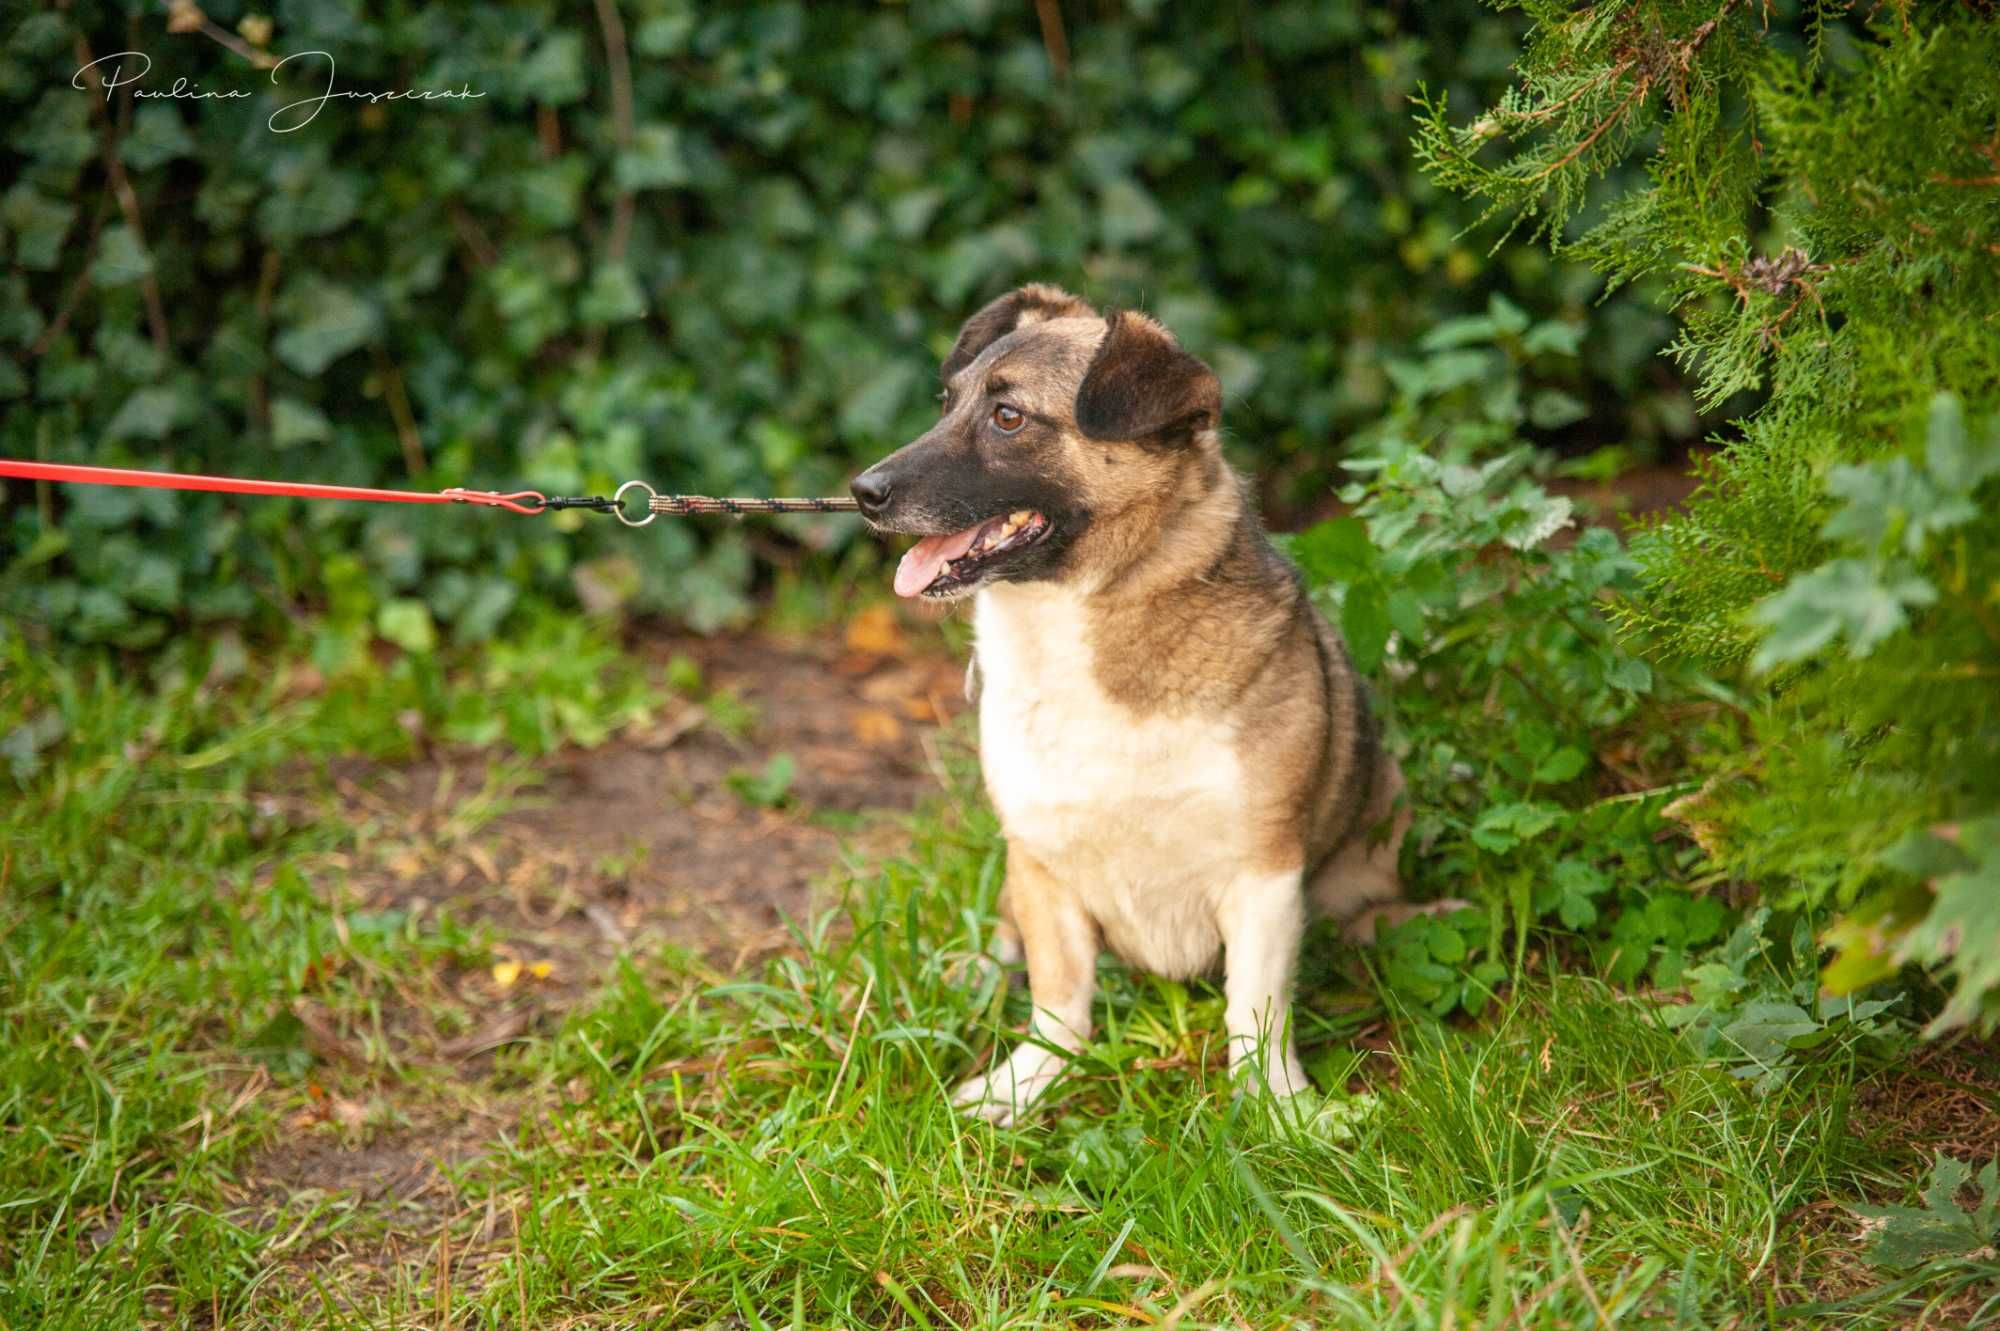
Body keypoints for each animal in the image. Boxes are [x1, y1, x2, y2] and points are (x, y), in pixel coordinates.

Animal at [848, 281, 1408, 1119]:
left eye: (1007, 416)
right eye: (947, 402)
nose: (863, 493)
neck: (1081, 616)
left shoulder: (1265, 873)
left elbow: (1257, 1011)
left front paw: (1280, 1109)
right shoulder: (1039, 864)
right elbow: (1058, 1000)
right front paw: (1025, 1084)